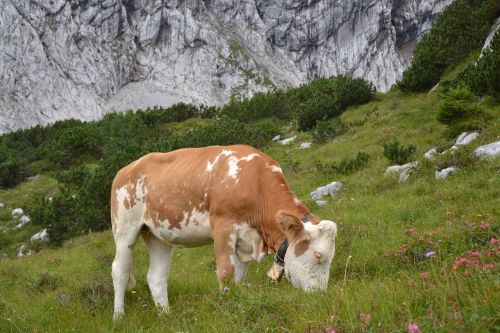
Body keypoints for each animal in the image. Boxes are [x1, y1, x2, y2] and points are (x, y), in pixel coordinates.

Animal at [111, 144, 338, 318]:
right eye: (318, 255)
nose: (321, 295)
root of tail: (126, 169)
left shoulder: (247, 240)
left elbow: (238, 276)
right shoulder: (223, 226)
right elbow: (226, 271)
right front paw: (227, 305)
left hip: (158, 236)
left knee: (156, 277)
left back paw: (166, 316)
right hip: (124, 228)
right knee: (119, 270)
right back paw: (118, 316)